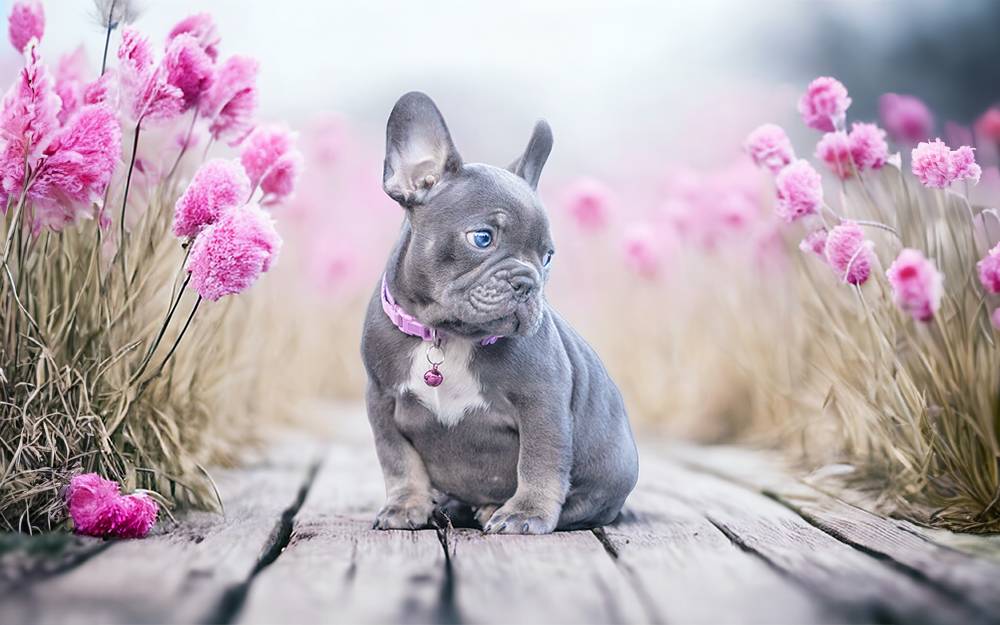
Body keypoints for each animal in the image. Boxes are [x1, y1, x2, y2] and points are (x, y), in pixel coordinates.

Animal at [364, 91, 636, 532]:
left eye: (547, 257)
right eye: (482, 238)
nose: (527, 282)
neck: (448, 334)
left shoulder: (542, 401)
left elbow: (540, 461)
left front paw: (526, 512)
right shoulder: (381, 400)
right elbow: (398, 460)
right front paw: (406, 505)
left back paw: (493, 508)